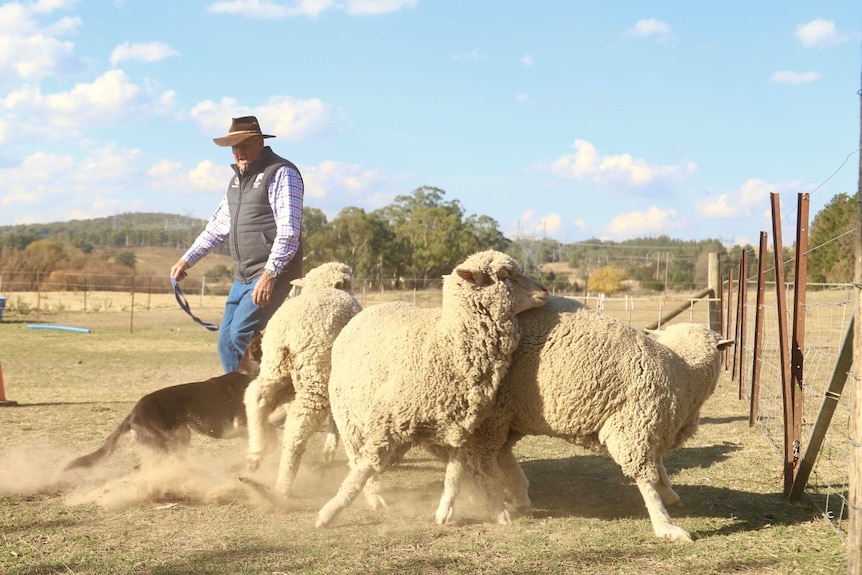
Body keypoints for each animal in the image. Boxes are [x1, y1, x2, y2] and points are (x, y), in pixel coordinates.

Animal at [245, 262, 362, 500]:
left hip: (275, 366)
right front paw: (330, 449)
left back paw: (256, 452)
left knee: (256, 396)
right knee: (297, 426)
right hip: (315, 378)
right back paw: (283, 484)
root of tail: (289, 334)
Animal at [314, 250, 552, 528]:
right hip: (348, 418)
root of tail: (366, 310)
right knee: (356, 459)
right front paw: (329, 512)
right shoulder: (386, 420)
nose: (544, 290)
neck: (446, 344)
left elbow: (454, 472)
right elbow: (362, 470)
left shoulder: (461, 427)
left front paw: (451, 510)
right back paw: (372, 497)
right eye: (503, 275)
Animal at [442, 304, 732, 544]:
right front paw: (665, 525)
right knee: (480, 460)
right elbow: (645, 477)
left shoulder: (653, 428)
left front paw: (669, 493)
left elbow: (659, 464)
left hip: (508, 414)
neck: (682, 370)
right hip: (492, 413)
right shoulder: (632, 426)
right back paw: (496, 508)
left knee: (491, 453)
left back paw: (512, 496)